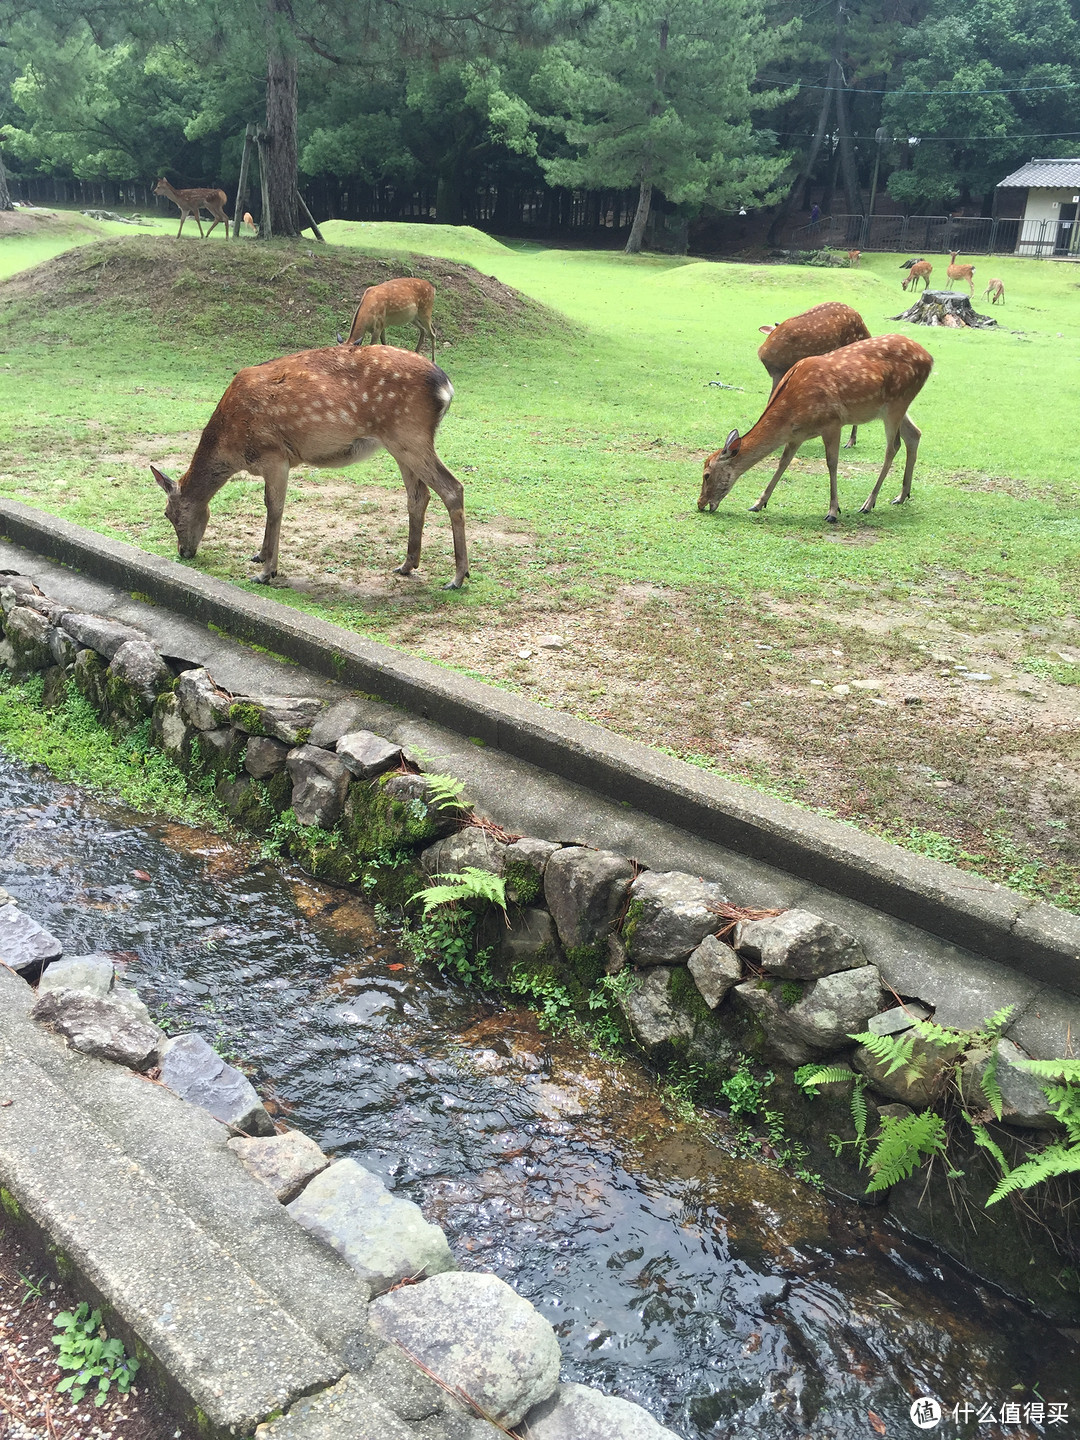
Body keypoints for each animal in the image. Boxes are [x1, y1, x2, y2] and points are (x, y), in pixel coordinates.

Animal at [146, 345, 466, 587]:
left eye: (168, 514)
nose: (184, 552)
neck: (233, 446)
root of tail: (446, 387)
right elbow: (272, 506)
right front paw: (261, 556)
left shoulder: (274, 455)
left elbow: (274, 507)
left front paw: (266, 572)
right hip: (399, 444)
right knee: (418, 496)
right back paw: (407, 564)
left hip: (409, 433)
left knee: (453, 488)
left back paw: (458, 577)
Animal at [696, 331, 933, 524]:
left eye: (706, 474)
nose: (700, 503)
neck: (792, 412)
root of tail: (930, 359)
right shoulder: (796, 436)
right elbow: (783, 463)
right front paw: (758, 503)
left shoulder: (833, 423)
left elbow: (832, 463)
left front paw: (833, 511)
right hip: (894, 407)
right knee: (915, 434)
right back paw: (901, 496)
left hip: (897, 402)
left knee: (893, 447)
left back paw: (868, 503)